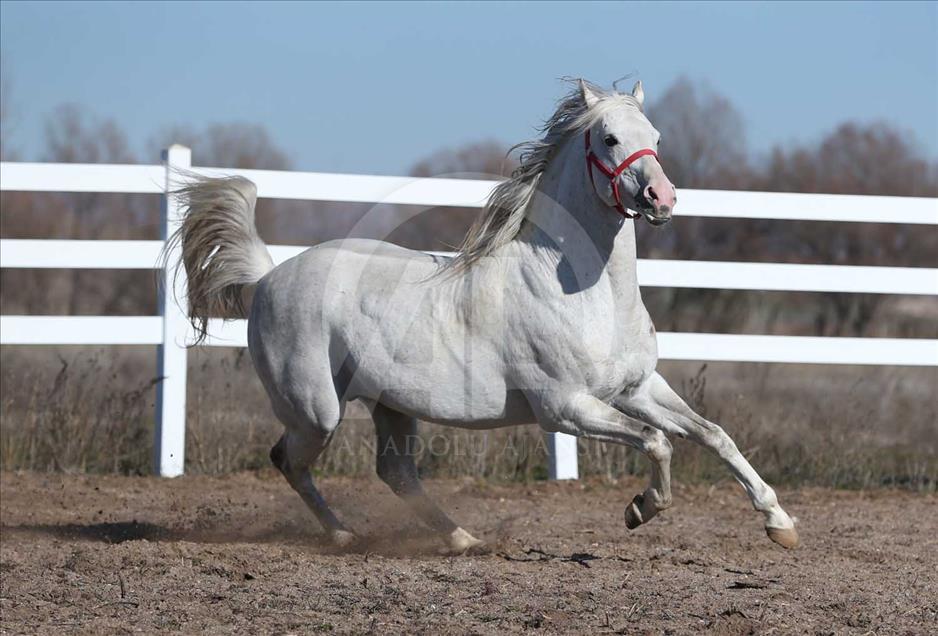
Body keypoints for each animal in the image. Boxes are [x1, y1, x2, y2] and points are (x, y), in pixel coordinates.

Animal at [167, 79, 799, 553]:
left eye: (657, 137)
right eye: (610, 137)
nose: (661, 199)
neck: (585, 295)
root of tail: (267, 278)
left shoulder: (636, 388)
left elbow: (712, 434)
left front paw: (780, 524)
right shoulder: (565, 408)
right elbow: (658, 443)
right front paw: (640, 509)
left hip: (392, 406)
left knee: (395, 474)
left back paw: (462, 539)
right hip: (317, 410)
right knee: (288, 459)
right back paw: (345, 536)